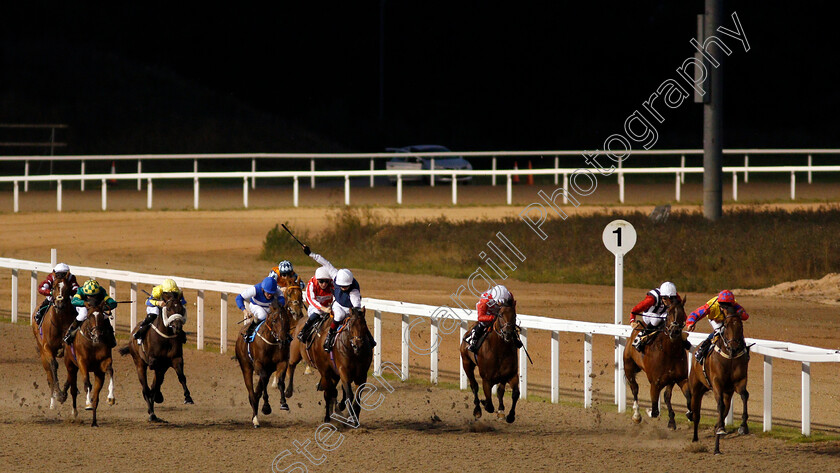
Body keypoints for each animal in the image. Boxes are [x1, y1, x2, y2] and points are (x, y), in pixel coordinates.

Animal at [31, 274, 74, 408]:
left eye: (67, 288)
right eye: (54, 287)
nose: (60, 304)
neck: (59, 322)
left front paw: (63, 394)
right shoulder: (47, 348)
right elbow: (54, 366)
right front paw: (59, 394)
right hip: (42, 352)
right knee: (49, 376)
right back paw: (52, 402)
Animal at [61, 298, 115, 428]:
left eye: (101, 316)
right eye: (89, 316)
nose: (97, 334)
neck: (93, 343)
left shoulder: (104, 363)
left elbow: (110, 371)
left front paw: (111, 398)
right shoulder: (82, 363)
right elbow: (87, 384)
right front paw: (87, 404)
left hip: (98, 374)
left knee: (96, 397)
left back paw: (94, 422)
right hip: (71, 366)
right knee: (73, 390)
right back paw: (74, 412)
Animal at [118, 292, 194, 420]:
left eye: (181, 308)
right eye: (168, 309)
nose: (177, 327)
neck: (166, 337)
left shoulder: (176, 359)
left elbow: (181, 377)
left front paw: (188, 397)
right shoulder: (154, 362)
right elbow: (154, 383)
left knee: (154, 385)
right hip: (139, 363)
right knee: (145, 387)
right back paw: (151, 413)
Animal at [624, 296, 688, 428]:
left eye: (682, 314)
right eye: (669, 314)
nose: (674, 332)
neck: (670, 352)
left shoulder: (679, 378)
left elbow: (685, 397)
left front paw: (673, 420)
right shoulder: (655, 383)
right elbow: (654, 411)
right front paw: (648, 411)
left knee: (666, 396)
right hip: (628, 367)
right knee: (634, 388)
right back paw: (636, 415)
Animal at [688, 306, 748, 454]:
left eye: (740, 325)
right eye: (725, 325)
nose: (734, 347)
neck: (730, 357)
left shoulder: (739, 382)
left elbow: (744, 396)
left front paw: (743, 426)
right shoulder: (717, 383)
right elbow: (719, 405)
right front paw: (720, 430)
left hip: (728, 392)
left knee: (725, 409)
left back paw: (717, 441)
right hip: (696, 388)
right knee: (696, 413)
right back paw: (696, 439)